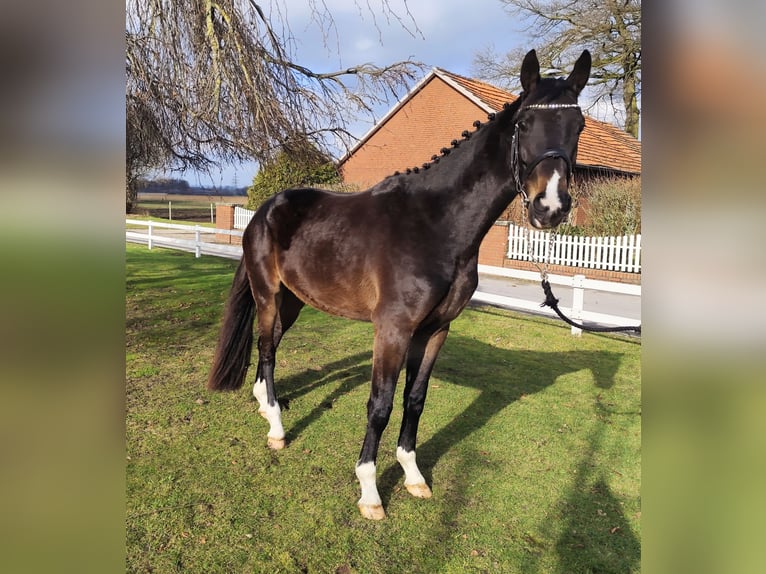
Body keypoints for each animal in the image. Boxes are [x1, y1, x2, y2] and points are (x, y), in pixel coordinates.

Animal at [207, 47, 592, 520]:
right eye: (525, 122)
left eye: (579, 125)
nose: (550, 208)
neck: (436, 224)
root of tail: (263, 210)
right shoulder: (393, 330)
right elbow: (380, 404)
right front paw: (369, 491)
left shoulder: (435, 330)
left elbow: (415, 399)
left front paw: (412, 475)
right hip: (268, 294)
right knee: (265, 349)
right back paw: (278, 429)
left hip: (295, 301)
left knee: (273, 347)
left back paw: (266, 405)